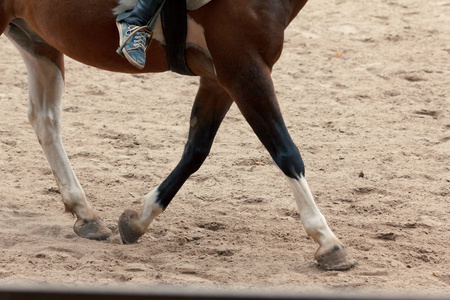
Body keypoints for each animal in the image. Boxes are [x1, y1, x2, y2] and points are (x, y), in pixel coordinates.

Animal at [1, 0, 356, 270]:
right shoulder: (244, 68)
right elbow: (285, 152)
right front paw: (327, 241)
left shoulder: (221, 78)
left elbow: (196, 150)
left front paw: (138, 219)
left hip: (36, 40)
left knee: (45, 120)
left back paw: (85, 214)